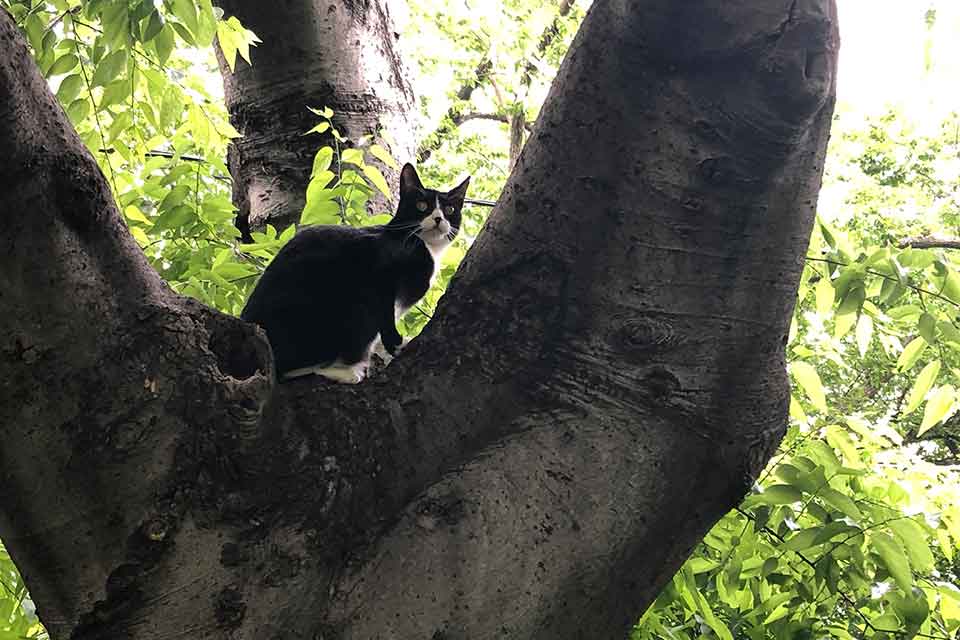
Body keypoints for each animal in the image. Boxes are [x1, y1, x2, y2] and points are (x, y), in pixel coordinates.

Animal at [242, 165, 470, 382]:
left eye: (450, 209)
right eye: (422, 205)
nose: (439, 218)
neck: (423, 246)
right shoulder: (381, 275)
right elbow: (386, 317)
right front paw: (397, 346)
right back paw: (342, 371)